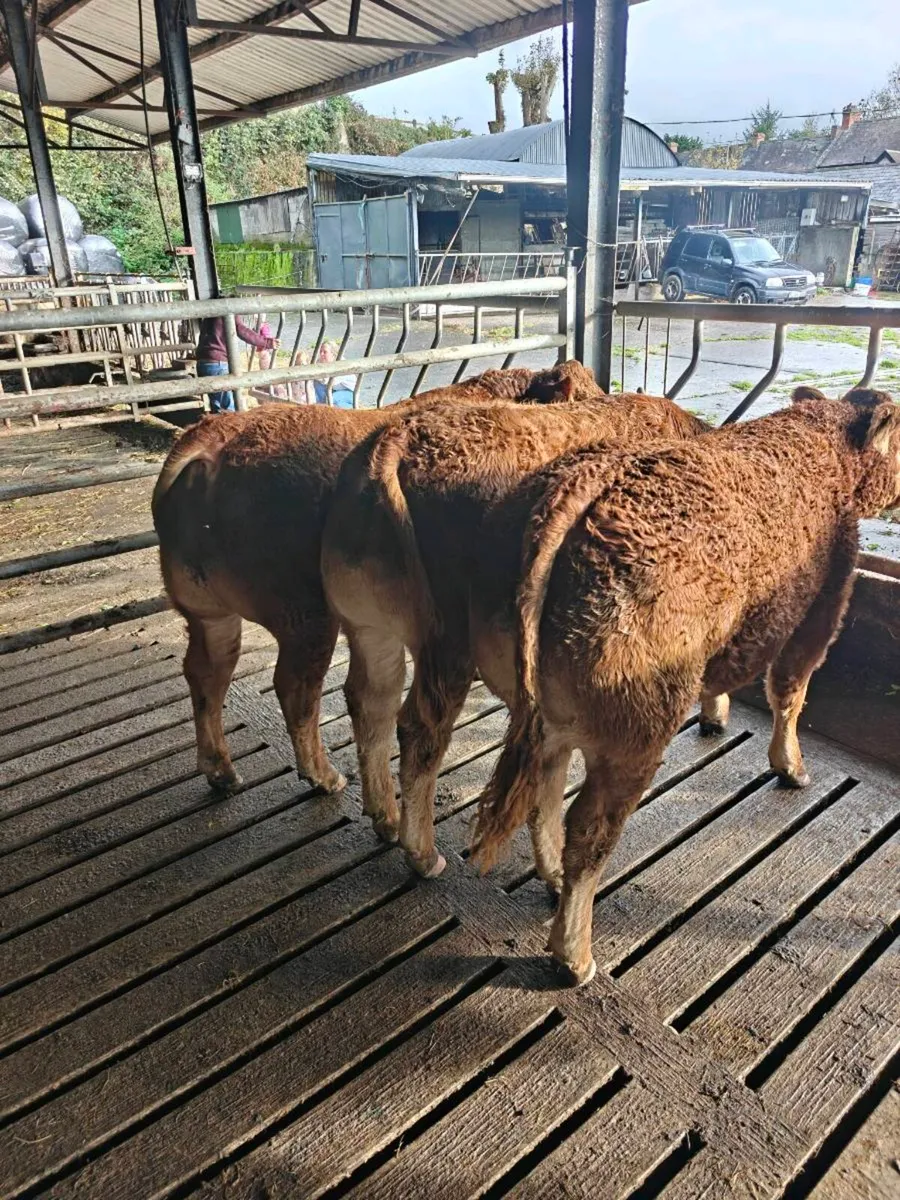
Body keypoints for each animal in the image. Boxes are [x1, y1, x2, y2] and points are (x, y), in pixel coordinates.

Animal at [151, 363, 592, 796]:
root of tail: (213, 439)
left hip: (205, 608)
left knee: (207, 670)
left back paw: (223, 773)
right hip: (304, 613)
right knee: (294, 688)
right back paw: (326, 778)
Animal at [321, 383, 709, 877]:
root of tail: (395, 441)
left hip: (368, 625)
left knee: (371, 701)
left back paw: (385, 818)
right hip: (446, 641)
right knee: (420, 726)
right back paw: (423, 854)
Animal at [471, 387, 900, 986]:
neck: (824, 445)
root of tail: (580, 479)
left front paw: (716, 713)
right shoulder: (821, 610)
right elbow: (789, 694)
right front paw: (791, 766)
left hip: (544, 713)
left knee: (545, 793)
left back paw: (552, 878)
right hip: (638, 726)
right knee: (589, 829)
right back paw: (574, 954)